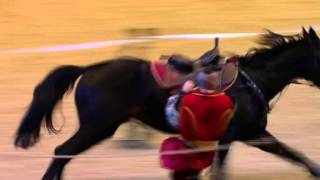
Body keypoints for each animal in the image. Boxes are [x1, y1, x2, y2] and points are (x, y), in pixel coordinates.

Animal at [15, 26, 320, 179]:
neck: (252, 81)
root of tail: (90, 68)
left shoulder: (254, 134)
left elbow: (296, 156)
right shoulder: (229, 138)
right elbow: (220, 172)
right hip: (98, 127)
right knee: (61, 152)